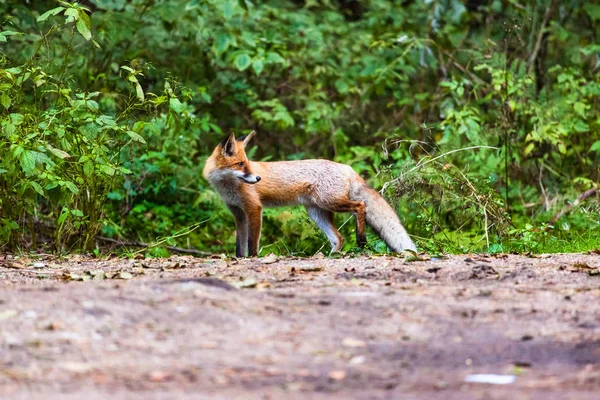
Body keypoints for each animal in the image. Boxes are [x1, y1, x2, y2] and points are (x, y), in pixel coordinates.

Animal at [203, 131, 418, 256]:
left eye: (247, 163)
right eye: (240, 164)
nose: (257, 178)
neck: (228, 187)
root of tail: (347, 167)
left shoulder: (254, 208)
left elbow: (252, 243)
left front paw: (254, 258)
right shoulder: (238, 214)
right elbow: (240, 246)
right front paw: (240, 259)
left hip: (331, 202)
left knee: (360, 206)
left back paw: (361, 239)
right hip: (317, 212)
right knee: (338, 238)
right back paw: (330, 257)